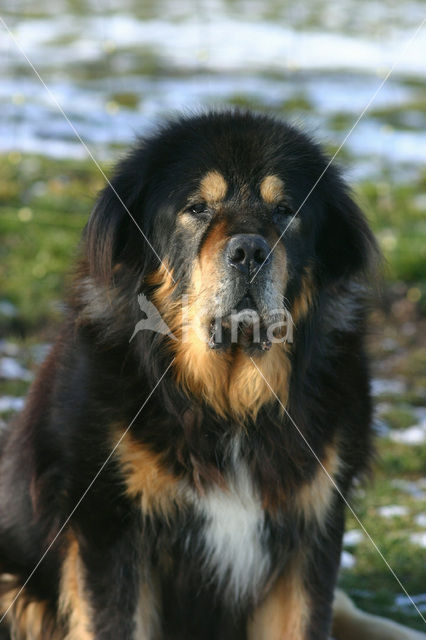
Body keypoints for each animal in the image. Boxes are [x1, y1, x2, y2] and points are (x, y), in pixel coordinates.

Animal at [0, 112, 422, 636]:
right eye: (197, 208)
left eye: (286, 210)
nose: (249, 252)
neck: (228, 407)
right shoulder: (109, 531)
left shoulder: (310, 533)